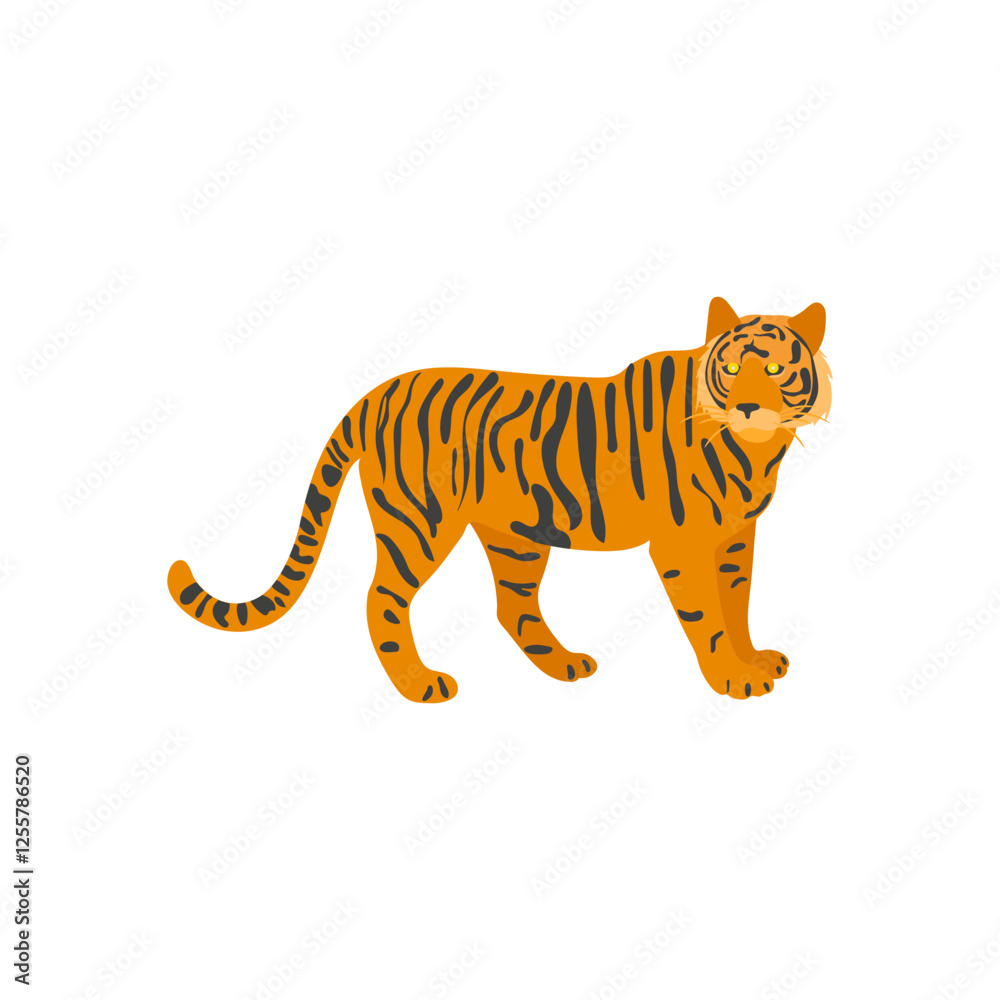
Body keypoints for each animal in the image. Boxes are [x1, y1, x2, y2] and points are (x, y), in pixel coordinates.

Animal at [168, 296, 830, 703]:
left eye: (774, 369)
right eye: (733, 369)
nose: (748, 407)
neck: (754, 450)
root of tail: (378, 391)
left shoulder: (735, 537)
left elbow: (737, 603)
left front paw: (753, 660)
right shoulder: (681, 543)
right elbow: (709, 618)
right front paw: (732, 678)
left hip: (516, 537)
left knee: (512, 608)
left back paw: (563, 666)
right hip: (421, 522)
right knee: (382, 597)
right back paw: (418, 685)